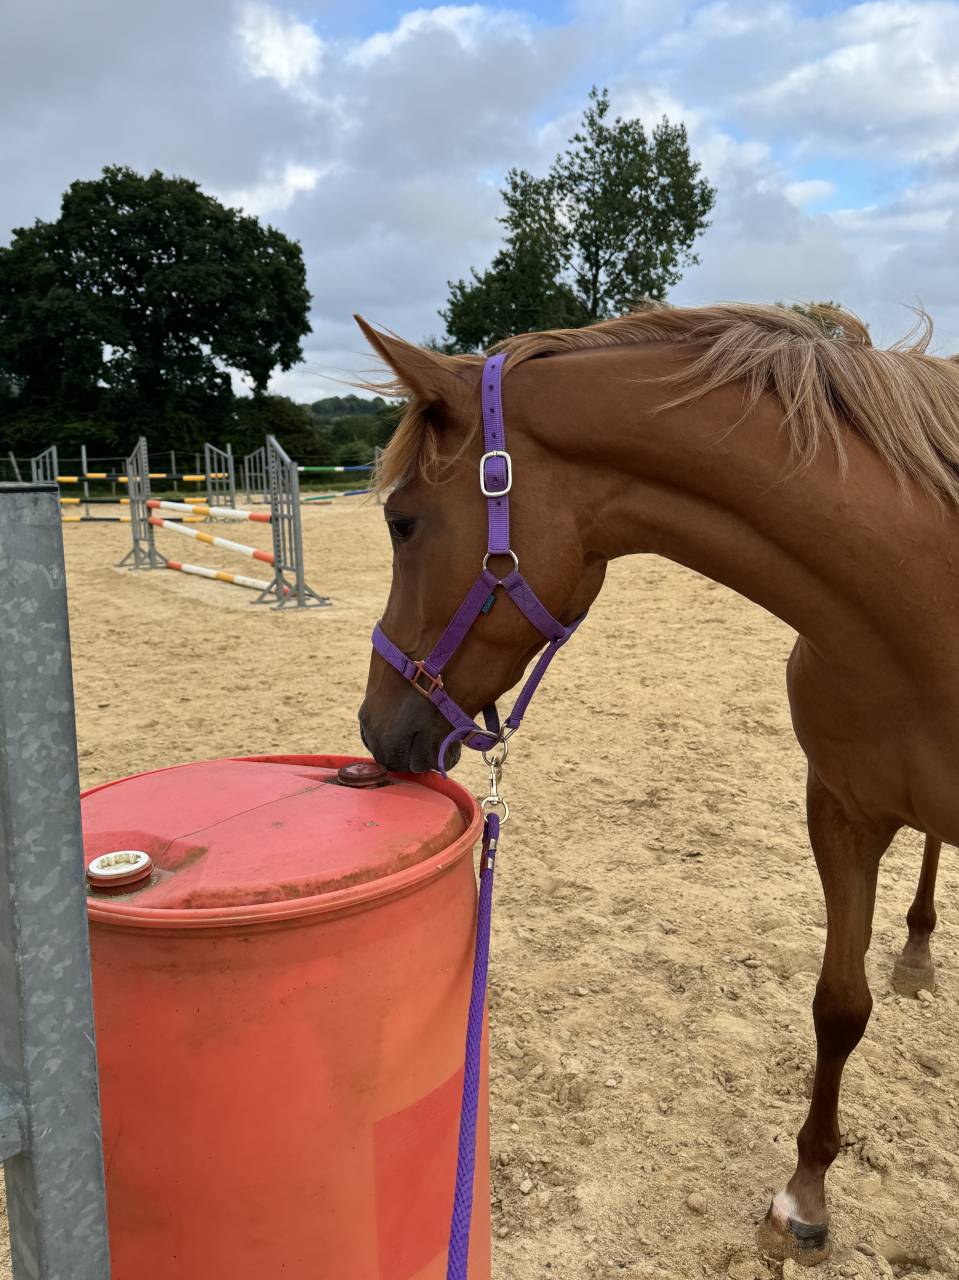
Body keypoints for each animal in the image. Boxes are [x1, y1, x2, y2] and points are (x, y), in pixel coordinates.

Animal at [355, 302, 959, 1264]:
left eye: (402, 522)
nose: (376, 729)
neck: (923, 608)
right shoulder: (839, 812)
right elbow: (837, 1005)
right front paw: (802, 1199)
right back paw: (914, 952)